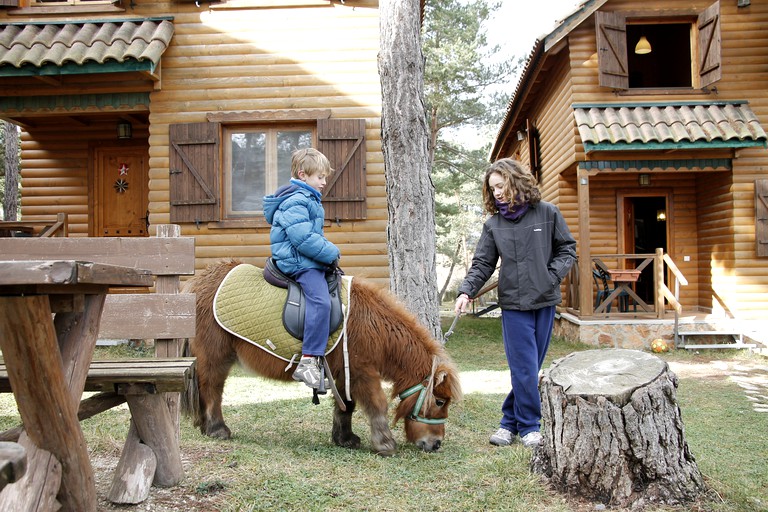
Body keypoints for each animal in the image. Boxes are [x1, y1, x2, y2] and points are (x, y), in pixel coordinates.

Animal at [184, 260, 462, 456]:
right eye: (439, 401)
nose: (436, 443)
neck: (372, 324)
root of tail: (197, 283)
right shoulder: (362, 371)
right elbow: (376, 404)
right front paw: (384, 443)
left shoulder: (345, 373)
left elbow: (346, 406)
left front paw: (344, 438)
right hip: (215, 357)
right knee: (212, 390)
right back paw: (217, 429)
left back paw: (204, 427)